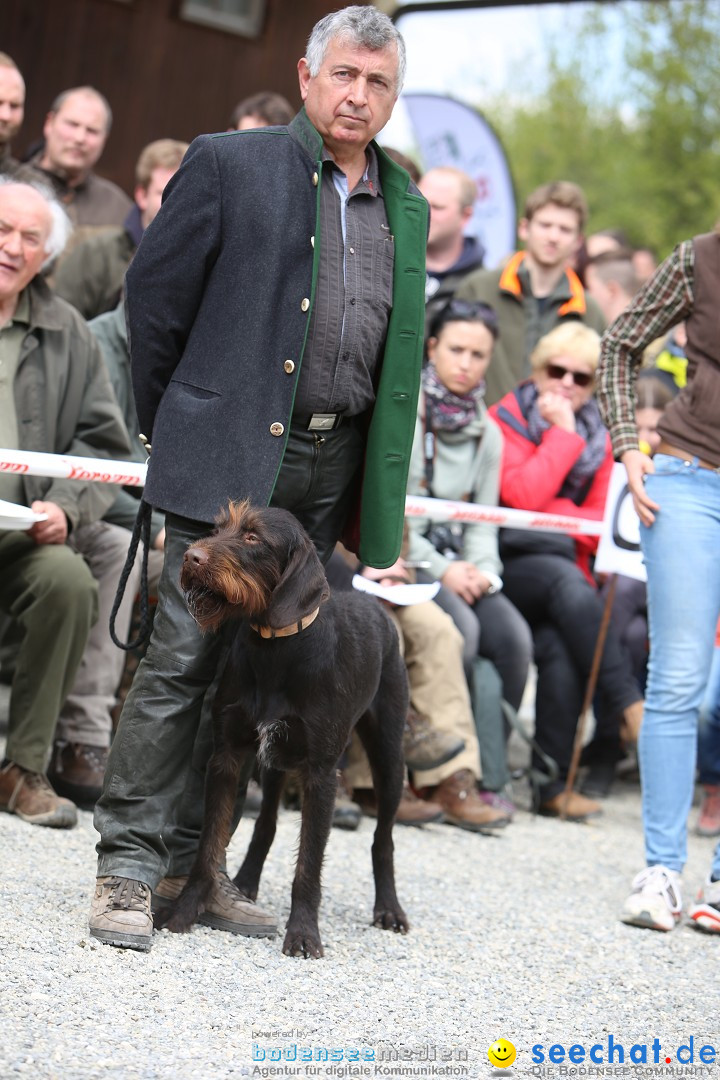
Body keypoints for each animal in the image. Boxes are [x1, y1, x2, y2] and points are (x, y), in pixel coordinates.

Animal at [156, 501, 410, 959]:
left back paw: (389, 908)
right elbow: (208, 847)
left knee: (383, 839)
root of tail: (374, 603)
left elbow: (309, 862)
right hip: (273, 761)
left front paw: (304, 932)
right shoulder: (228, 756)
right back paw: (245, 883)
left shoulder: (322, 774)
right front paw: (185, 910)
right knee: (266, 825)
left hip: (388, 757)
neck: (275, 647)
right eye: (218, 528)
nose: (190, 557)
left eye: (253, 537)